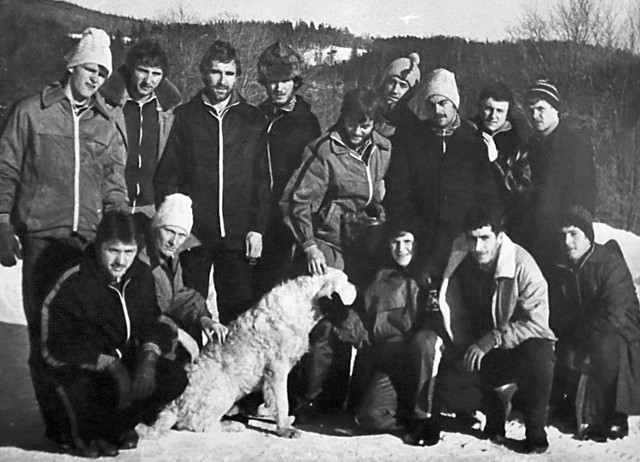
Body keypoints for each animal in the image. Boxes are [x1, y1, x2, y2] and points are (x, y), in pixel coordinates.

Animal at [143, 268, 358, 436]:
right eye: (347, 280)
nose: (356, 286)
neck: (304, 303)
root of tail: (172, 406)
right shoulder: (277, 369)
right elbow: (282, 400)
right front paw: (284, 428)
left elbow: (273, 398)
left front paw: (271, 413)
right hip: (225, 389)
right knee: (199, 424)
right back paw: (230, 425)